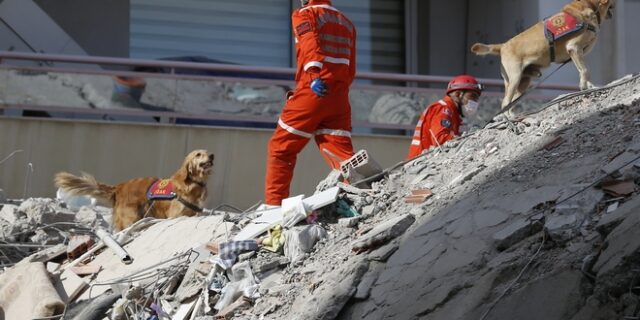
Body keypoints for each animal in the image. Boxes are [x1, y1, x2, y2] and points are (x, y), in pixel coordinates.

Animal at [54, 150, 214, 230]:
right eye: (198, 154)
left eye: (207, 152)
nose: (212, 155)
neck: (194, 183)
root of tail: (119, 187)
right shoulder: (176, 214)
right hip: (130, 218)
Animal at [470, 0, 616, 110]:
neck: (586, 6)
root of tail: (502, 46)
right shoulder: (574, 48)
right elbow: (585, 71)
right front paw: (584, 86)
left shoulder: (578, 54)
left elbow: (584, 71)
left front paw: (590, 86)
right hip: (515, 78)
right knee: (505, 103)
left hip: (523, 81)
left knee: (510, 103)